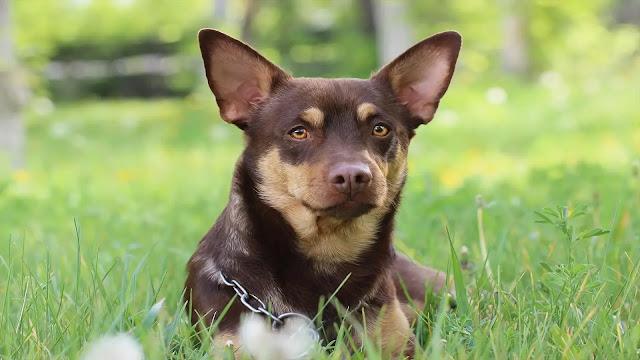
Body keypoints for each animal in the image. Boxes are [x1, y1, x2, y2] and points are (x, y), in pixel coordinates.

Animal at [184, 27, 460, 358]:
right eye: (299, 132)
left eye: (380, 129)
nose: (353, 175)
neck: (329, 253)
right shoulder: (234, 345)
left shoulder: (400, 346)